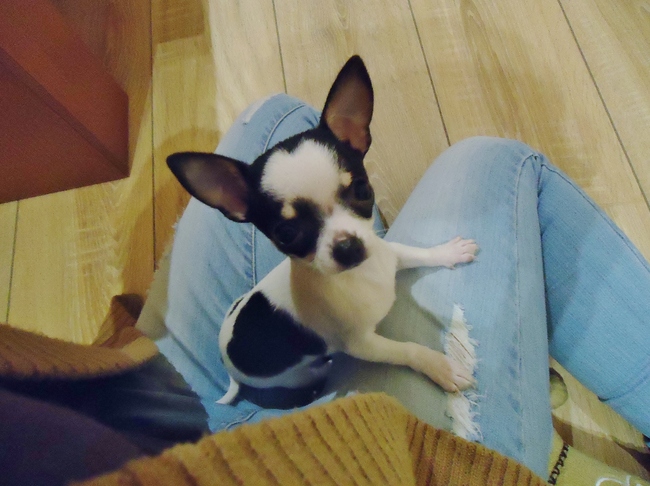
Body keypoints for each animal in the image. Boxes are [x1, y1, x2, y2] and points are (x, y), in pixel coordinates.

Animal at [167, 55, 477, 408]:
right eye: (286, 234)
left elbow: (417, 253)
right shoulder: (363, 345)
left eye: (362, 191)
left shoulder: (387, 251)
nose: (347, 247)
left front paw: (448, 252)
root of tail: (227, 360)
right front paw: (440, 367)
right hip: (298, 374)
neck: (361, 276)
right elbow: (407, 350)